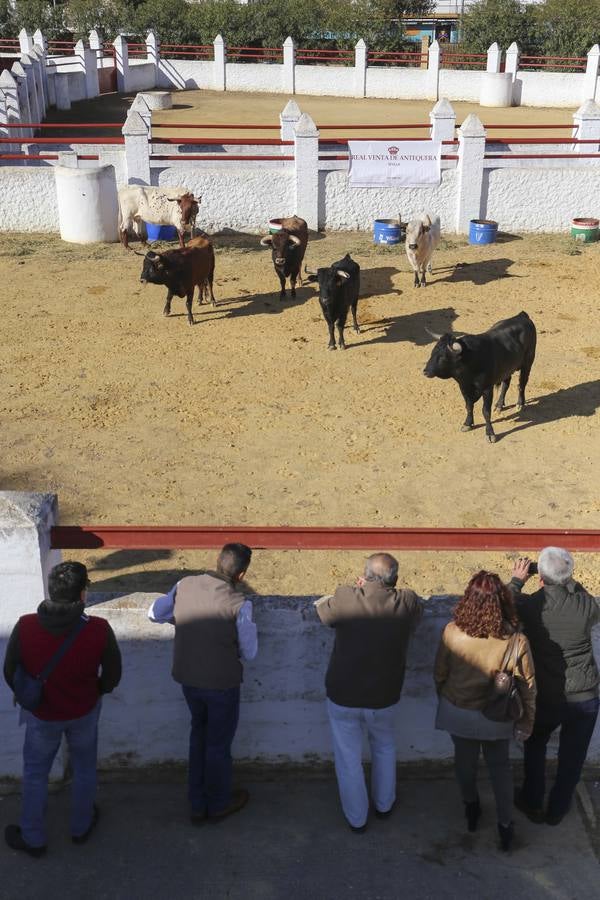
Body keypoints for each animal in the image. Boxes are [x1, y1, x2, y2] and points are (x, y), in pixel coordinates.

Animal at [422, 312, 540, 444]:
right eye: (432, 353)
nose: (425, 371)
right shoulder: (464, 388)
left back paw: (520, 403)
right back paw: (499, 405)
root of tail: (522, 315)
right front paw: (468, 423)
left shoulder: (487, 389)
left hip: (527, 363)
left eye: (443, 357)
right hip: (507, 369)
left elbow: (485, 411)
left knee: (522, 383)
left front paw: (490, 433)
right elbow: (469, 406)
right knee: (506, 384)